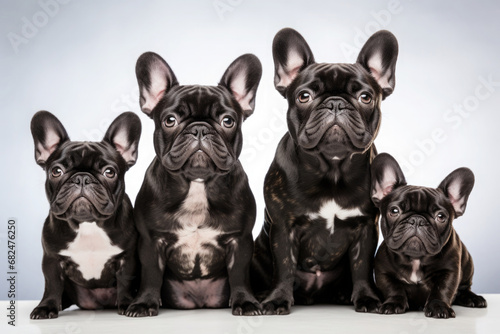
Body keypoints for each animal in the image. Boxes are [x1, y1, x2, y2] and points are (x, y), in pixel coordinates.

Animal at [29, 110, 141, 318]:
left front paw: (127, 304)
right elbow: (51, 285)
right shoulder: (51, 259)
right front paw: (46, 307)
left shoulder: (127, 258)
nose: (82, 177)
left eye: (109, 172)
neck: (88, 224)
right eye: (56, 171)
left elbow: (125, 282)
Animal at [125, 51, 264, 316]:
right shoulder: (151, 241)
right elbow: (151, 275)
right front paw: (144, 303)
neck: (197, 184)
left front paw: (246, 302)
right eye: (170, 120)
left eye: (228, 121)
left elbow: (239, 275)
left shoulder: (239, 240)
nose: (199, 128)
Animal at [254, 27, 398, 314]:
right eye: (304, 96)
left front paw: (367, 297)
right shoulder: (283, 228)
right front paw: (277, 299)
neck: (332, 169)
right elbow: (284, 266)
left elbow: (362, 268)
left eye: (365, 97)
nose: (335, 103)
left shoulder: (366, 228)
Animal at [372, 153, 484, 318]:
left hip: (468, 264)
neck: (415, 258)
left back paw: (473, 298)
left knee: (464, 288)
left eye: (441, 217)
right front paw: (393, 303)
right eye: (394, 211)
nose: (417, 220)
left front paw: (438, 307)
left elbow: (442, 290)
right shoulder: (383, 272)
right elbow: (392, 288)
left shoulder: (449, 271)